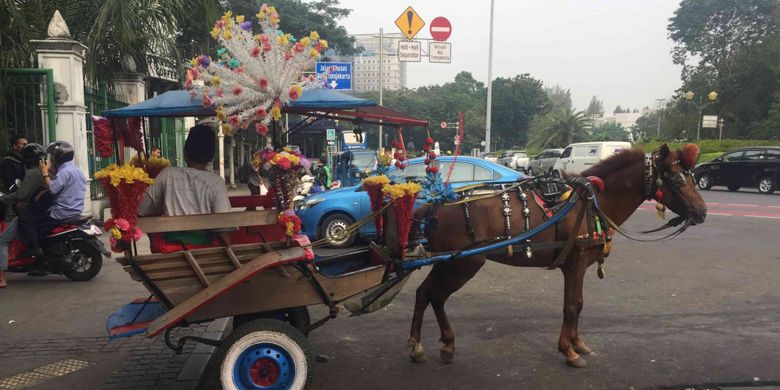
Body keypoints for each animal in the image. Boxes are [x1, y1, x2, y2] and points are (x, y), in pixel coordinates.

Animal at [408, 144, 708, 368]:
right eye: (678, 179)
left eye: (693, 177)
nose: (702, 212)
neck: (593, 201)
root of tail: (433, 207)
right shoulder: (575, 263)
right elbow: (571, 307)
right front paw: (569, 351)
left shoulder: (578, 266)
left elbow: (579, 304)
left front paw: (577, 344)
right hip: (463, 264)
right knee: (435, 296)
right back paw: (432, 345)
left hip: (447, 263)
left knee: (425, 294)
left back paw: (427, 345)